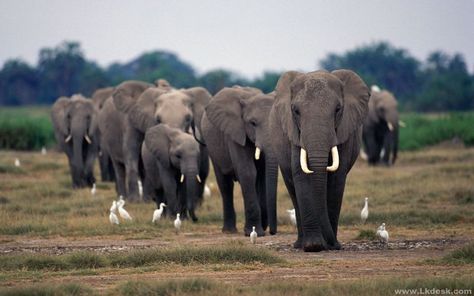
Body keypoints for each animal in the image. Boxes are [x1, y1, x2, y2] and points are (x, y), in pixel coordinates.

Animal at [200, 85, 278, 236]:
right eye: (252, 123)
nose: (272, 232)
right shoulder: (235, 132)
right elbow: (248, 172)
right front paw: (254, 232)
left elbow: (262, 174)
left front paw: (259, 230)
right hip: (212, 148)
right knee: (225, 184)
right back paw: (229, 231)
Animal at [270, 70, 370, 252]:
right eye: (296, 111)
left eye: (338, 109)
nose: (333, 244)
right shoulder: (295, 133)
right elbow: (301, 173)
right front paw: (313, 246)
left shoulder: (343, 132)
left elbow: (337, 177)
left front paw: (330, 246)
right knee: (292, 189)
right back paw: (299, 244)